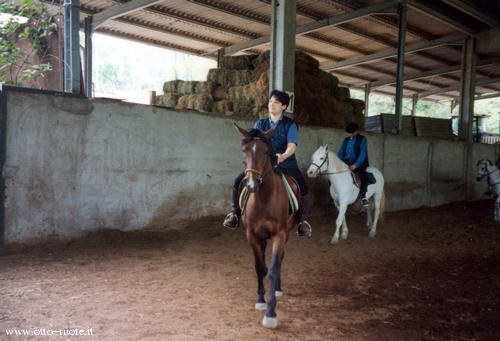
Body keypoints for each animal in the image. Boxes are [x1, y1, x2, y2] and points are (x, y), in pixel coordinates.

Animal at [235, 123, 300, 328]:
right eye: (244, 150)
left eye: (265, 151)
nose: (251, 184)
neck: (263, 198)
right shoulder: (252, 235)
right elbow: (260, 267)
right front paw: (260, 300)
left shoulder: (280, 234)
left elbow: (272, 270)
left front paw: (271, 313)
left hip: (286, 233)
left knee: (280, 261)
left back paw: (277, 288)